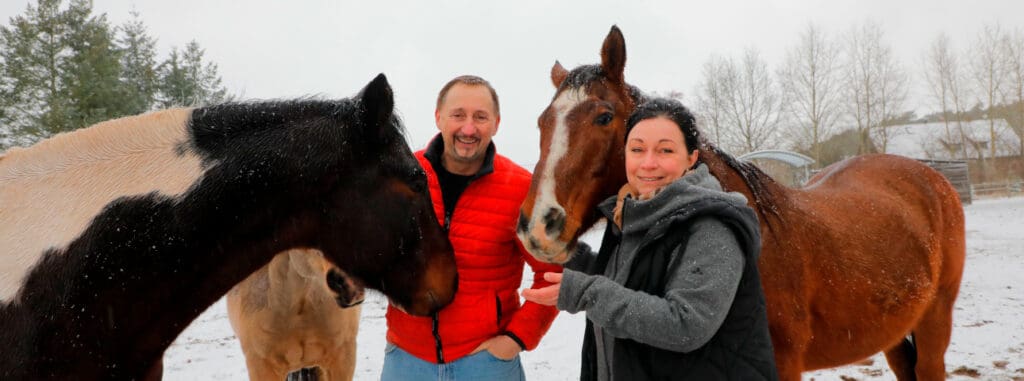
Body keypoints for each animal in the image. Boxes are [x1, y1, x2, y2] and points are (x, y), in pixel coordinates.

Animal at [520, 25, 966, 378]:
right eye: (542, 122)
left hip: (935, 321)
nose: (537, 227)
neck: (762, 244)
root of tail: (932, 178)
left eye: (604, 116)